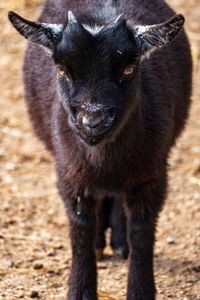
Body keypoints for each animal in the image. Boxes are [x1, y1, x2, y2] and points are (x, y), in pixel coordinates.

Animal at [8, 0, 192, 298]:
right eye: (62, 70)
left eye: (129, 69)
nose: (92, 121)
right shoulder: (70, 174)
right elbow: (80, 229)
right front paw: (80, 289)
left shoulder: (153, 175)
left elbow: (142, 231)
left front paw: (140, 290)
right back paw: (100, 243)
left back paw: (118, 241)